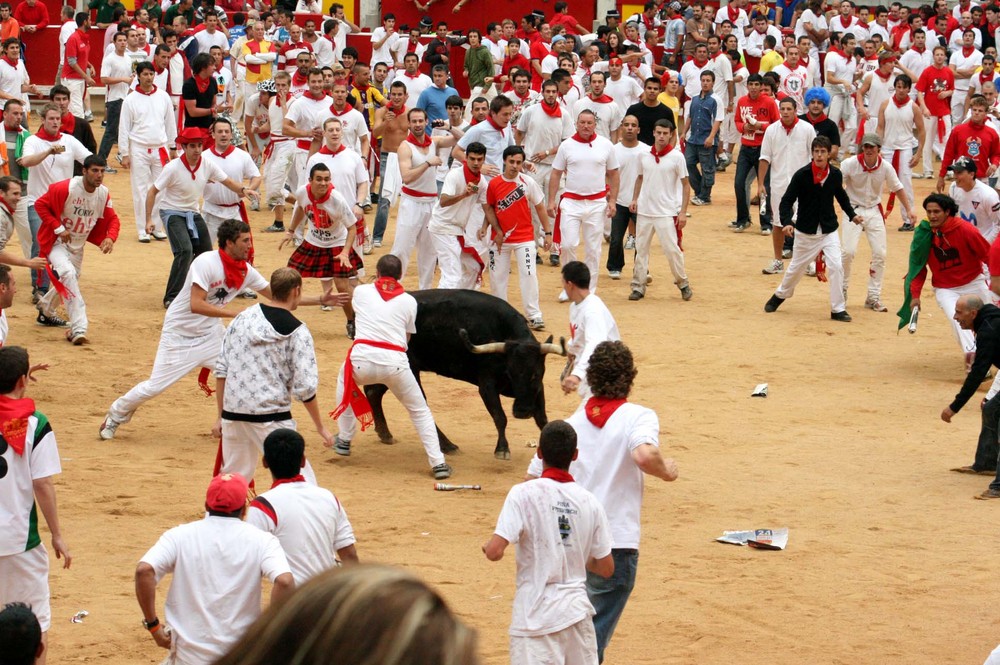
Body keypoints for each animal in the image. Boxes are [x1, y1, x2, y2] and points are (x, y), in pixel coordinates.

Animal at [366, 288, 572, 460]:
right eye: (510, 373)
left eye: (535, 374)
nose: (522, 412)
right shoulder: (487, 386)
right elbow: (500, 417)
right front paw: (502, 449)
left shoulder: (537, 389)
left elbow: (542, 418)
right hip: (408, 372)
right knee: (418, 404)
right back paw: (447, 445)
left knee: (373, 391)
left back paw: (385, 434)